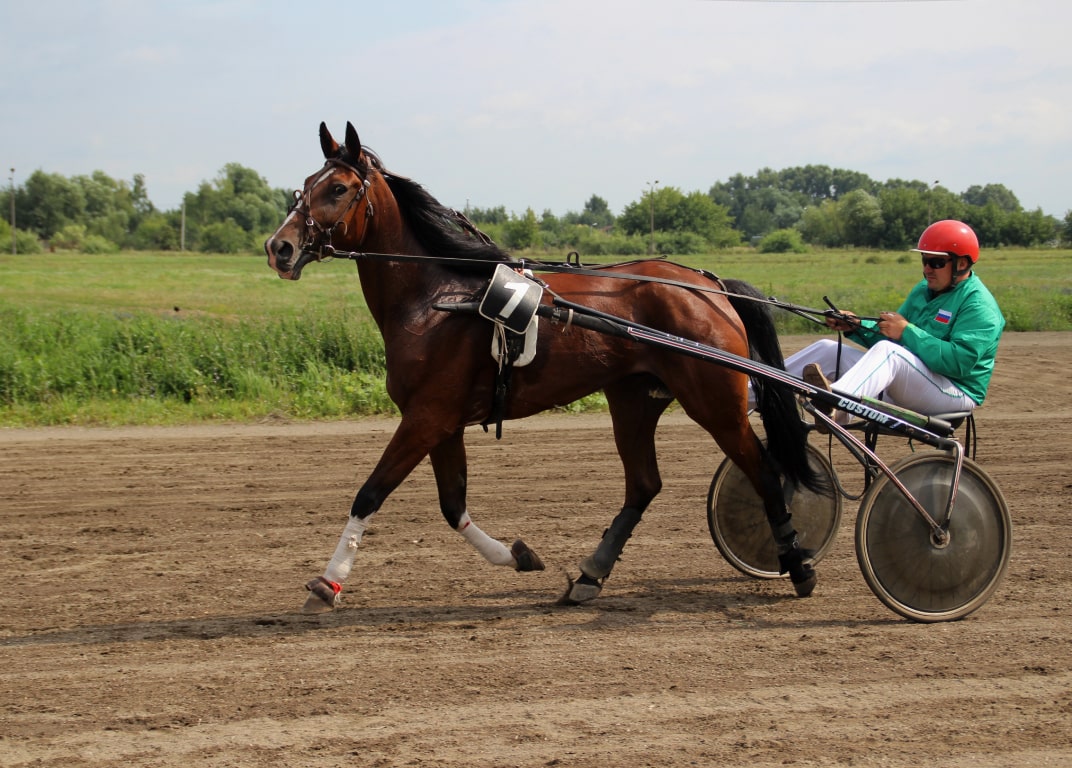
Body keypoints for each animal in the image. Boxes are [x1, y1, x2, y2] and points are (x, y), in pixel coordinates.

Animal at [264, 121, 825, 614]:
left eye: (338, 188)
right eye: (304, 186)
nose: (279, 247)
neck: (436, 299)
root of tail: (710, 286)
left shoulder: (426, 417)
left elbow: (370, 493)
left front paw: (328, 584)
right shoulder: (442, 422)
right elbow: (452, 505)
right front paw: (516, 556)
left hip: (715, 402)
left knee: (764, 470)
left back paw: (797, 566)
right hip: (633, 399)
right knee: (644, 485)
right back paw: (590, 576)